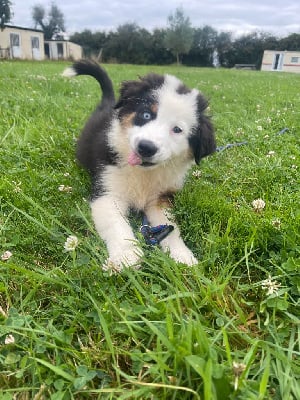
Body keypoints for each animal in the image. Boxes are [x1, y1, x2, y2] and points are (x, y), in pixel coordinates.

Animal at [63, 60, 214, 272]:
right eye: (146, 115)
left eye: (177, 129)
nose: (146, 147)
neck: (143, 173)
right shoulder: (107, 193)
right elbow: (117, 224)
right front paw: (126, 255)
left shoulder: (160, 198)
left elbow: (171, 226)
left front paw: (181, 254)